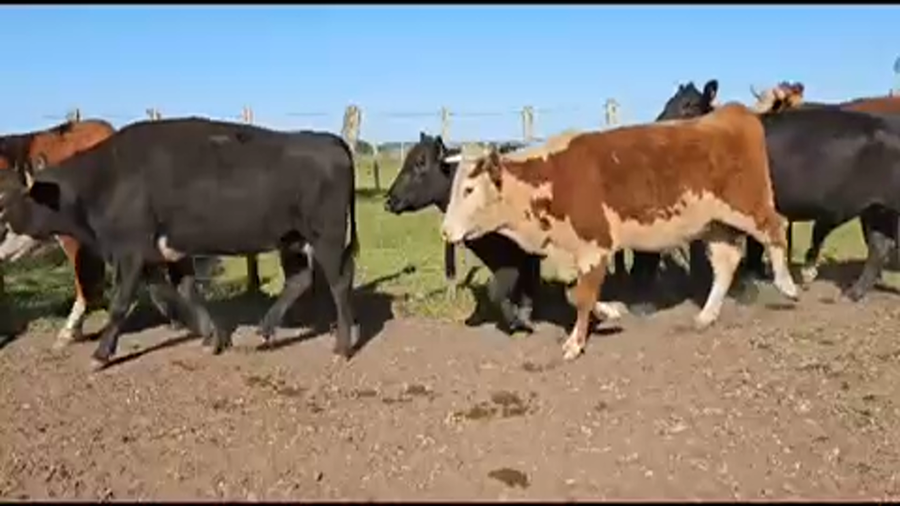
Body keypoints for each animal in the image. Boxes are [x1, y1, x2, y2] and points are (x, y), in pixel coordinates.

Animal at [0, 116, 359, 370]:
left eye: (7, 207)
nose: (1, 246)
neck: (107, 179)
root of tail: (329, 140)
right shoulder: (163, 252)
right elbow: (179, 292)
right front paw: (211, 336)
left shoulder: (130, 251)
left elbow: (121, 303)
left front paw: (101, 354)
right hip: (292, 239)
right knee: (300, 279)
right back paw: (266, 330)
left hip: (326, 236)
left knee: (340, 284)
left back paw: (342, 347)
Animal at [384, 132, 541, 333]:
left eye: (420, 163)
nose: (388, 200)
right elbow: (500, 289)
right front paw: (520, 316)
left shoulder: (518, 253)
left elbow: (504, 287)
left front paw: (520, 319)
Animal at [440, 104, 799, 361]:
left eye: (469, 189)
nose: (445, 231)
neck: (553, 177)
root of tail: (734, 113)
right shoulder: (572, 250)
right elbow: (575, 292)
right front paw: (611, 311)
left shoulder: (595, 244)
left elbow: (582, 296)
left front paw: (575, 344)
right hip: (714, 225)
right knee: (726, 263)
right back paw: (706, 316)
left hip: (748, 206)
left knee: (776, 228)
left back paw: (787, 285)